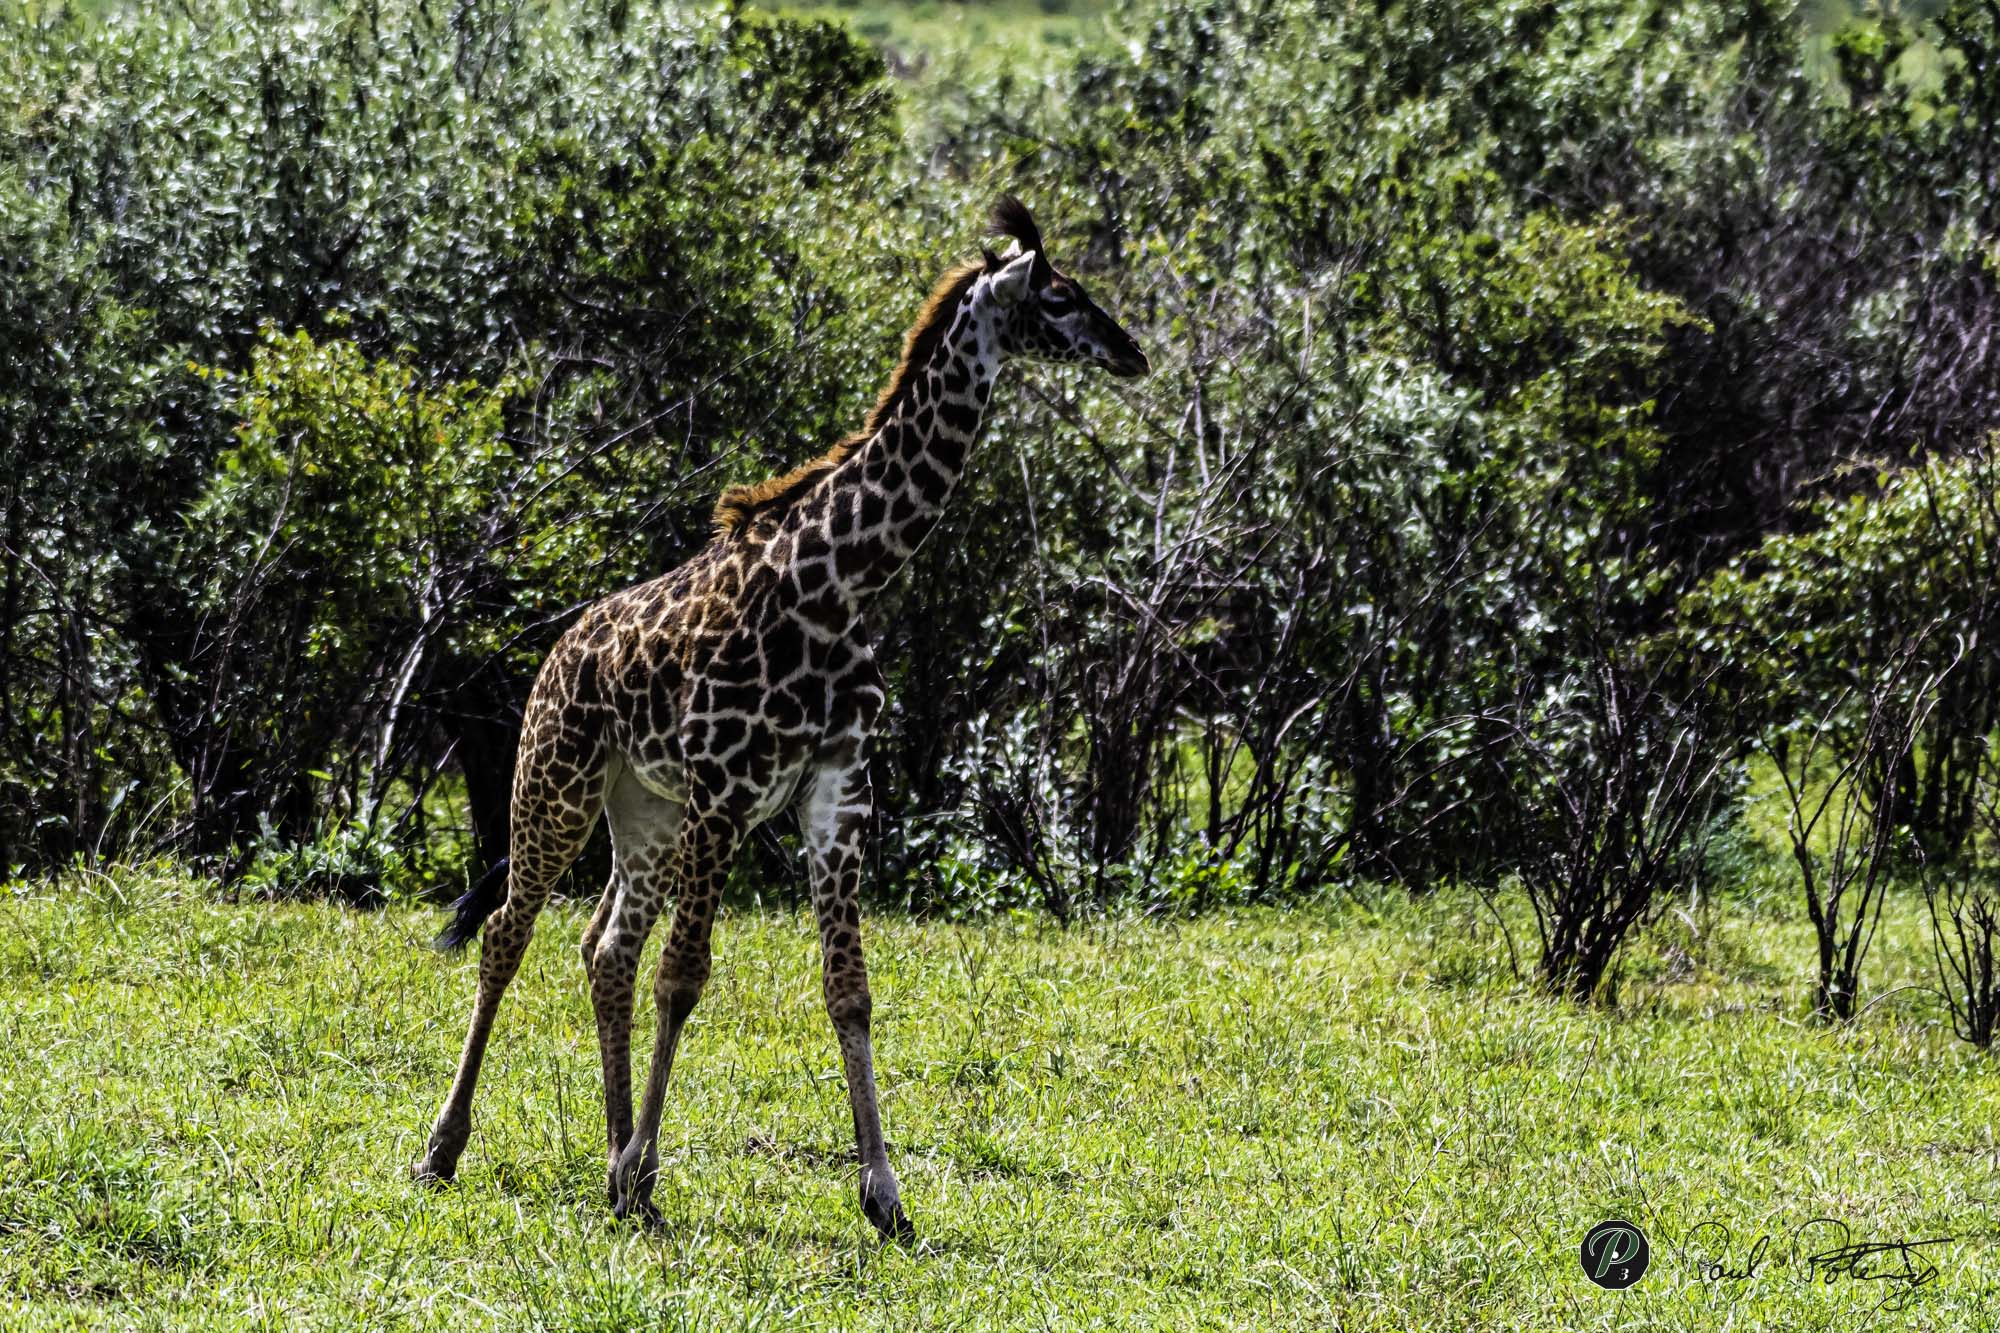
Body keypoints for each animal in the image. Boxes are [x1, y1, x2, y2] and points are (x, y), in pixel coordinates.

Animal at [411, 197, 1148, 1241]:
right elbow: (687, 978)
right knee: (511, 934)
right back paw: (448, 1148)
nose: (1131, 352)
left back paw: (609, 1152)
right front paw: (648, 1174)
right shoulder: (726, 787)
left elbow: (850, 989)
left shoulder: (836, 790)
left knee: (605, 949)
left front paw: (883, 1194)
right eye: (1058, 296)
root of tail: (557, 652)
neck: (840, 584)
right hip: (557, 783)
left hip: (645, 812)